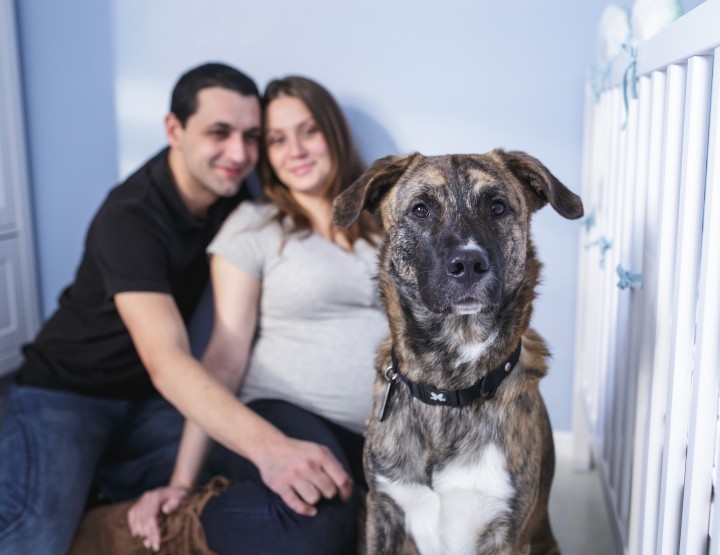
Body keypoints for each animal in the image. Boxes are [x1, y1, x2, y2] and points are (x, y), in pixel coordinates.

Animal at [334, 150, 584, 552]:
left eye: (497, 207)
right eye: (420, 209)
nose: (468, 264)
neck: (448, 388)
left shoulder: (507, 533)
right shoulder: (383, 510)